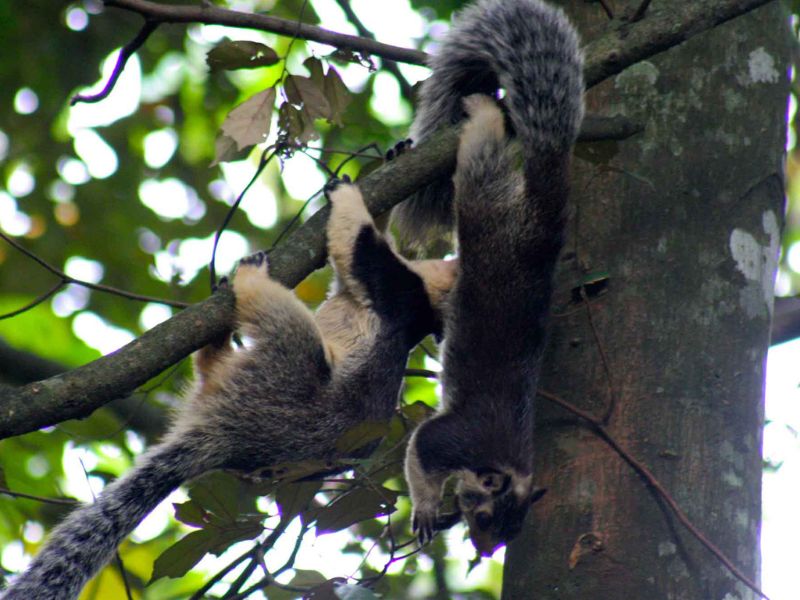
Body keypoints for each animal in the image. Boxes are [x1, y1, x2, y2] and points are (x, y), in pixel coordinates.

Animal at [1, 179, 456, 600]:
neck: (428, 305)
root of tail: (226, 435)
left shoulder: (394, 289)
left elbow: (354, 245)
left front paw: (346, 194)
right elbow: (345, 270)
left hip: (286, 370)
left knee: (282, 319)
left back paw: (249, 280)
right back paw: (215, 343)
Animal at [400, 0, 580, 556]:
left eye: (510, 533)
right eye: (482, 516)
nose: (482, 553)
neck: (504, 460)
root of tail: (543, 219)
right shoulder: (453, 437)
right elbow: (419, 450)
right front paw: (426, 508)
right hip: (483, 199)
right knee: (480, 153)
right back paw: (481, 108)